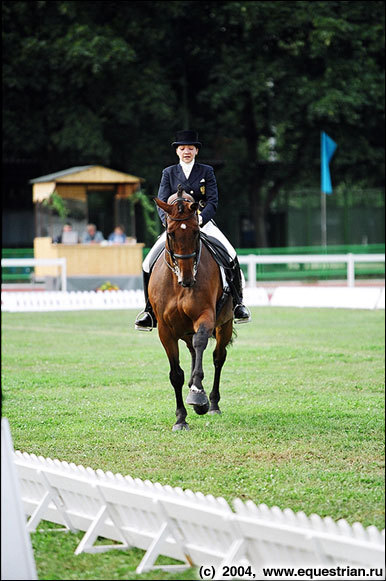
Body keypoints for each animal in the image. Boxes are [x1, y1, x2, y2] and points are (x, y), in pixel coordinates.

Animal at [149, 188, 234, 428]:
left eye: (197, 232)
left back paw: (211, 403)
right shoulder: (165, 330)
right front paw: (180, 418)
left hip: (224, 324)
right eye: (170, 233)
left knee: (217, 357)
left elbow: (202, 344)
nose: (187, 280)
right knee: (194, 351)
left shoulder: (206, 317)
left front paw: (198, 395)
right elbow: (175, 374)